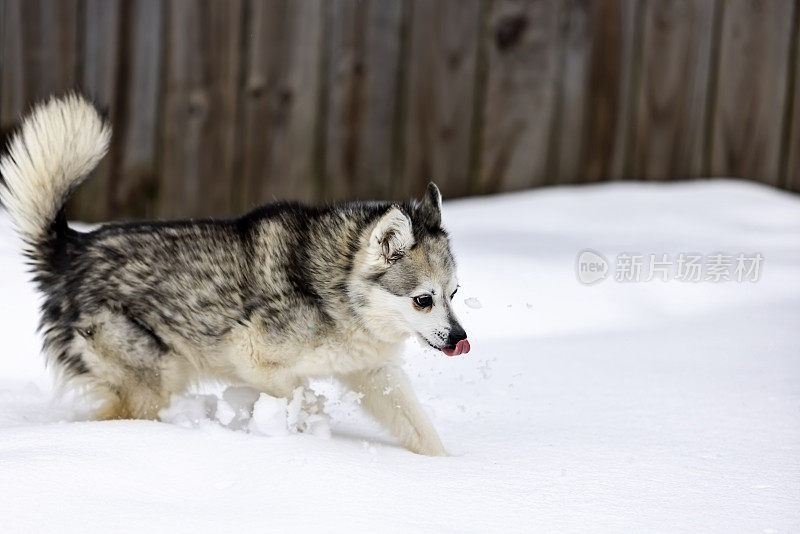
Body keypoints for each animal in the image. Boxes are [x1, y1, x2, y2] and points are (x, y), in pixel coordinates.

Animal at [1, 95, 468, 456]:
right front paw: (306, 427)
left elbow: (421, 430)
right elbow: (301, 395)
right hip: (154, 380)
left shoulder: (374, 374)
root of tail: (74, 248)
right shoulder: (252, 354)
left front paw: (450, 471)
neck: (336, 293)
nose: (460, 338)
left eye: (454, 293)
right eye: (422, 300)